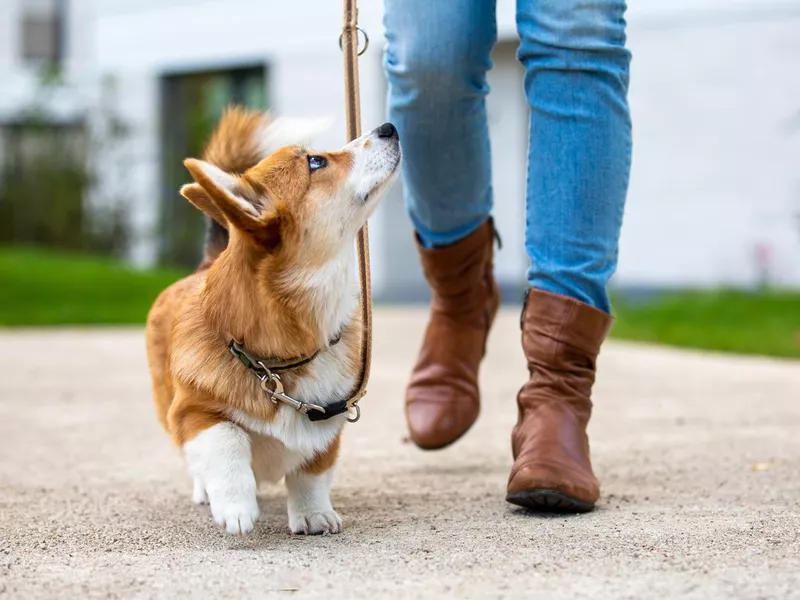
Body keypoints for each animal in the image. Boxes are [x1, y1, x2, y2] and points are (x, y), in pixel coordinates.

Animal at [145, 106, 400, 536]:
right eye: (315, 162)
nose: (389, 128)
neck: (278, 362)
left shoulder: (327, 422)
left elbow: (311, 472)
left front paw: (314, 515)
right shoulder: (192, 413)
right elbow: (227, 439)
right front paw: (236, 506)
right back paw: (206, 491)